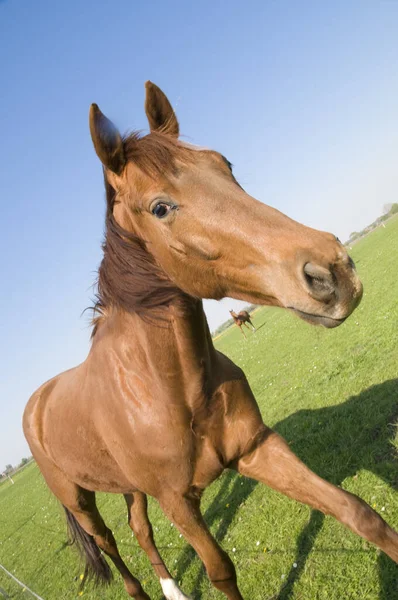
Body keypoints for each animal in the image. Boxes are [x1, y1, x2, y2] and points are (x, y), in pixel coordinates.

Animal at [23, 81, 396, 600]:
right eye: (160, 207)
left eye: (226, 166)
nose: (333, 271)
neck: (169, 388)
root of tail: (36, 403)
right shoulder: (178, 501)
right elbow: (220, 570)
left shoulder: (257, 448)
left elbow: (357, 511)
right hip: (81, 500)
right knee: (111, 543)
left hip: (130, 488)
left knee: (140, 528)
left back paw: (172, 589)